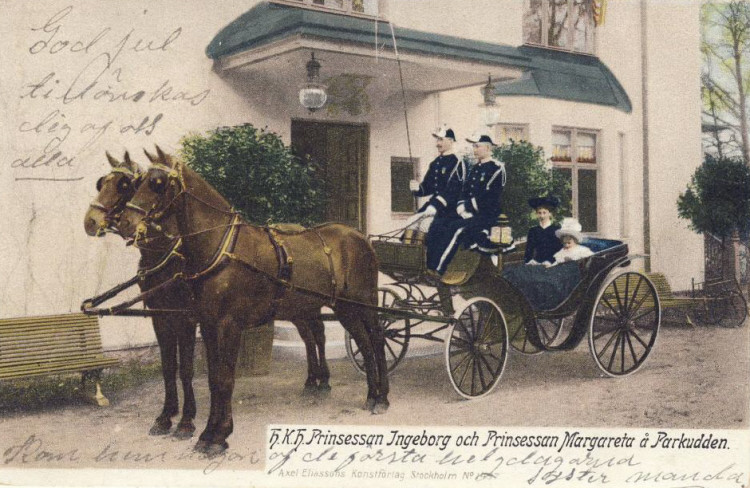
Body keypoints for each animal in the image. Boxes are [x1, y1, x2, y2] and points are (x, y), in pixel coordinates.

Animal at [83, 152, 198, 438]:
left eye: (124, 184)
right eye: (101, 182)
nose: (90, 221)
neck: (167, 256)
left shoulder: (186, 317)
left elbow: (186, 368)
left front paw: (187, 420)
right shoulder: (161, 316)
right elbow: (169, 367)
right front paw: (166, 416)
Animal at [119, 147, 388, 456]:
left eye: (159, 183)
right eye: (139, 182)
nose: (126, 222)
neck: (221, 248)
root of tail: (361, 237)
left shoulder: (228, 325)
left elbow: (225, 378)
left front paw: (219, 434)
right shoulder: (207, 324)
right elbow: (214, 378)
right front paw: (208, 433)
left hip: (365, 303)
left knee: (377, 340)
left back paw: (383, 397)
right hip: (343, 307)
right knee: (363, 344)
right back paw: (371, 394)